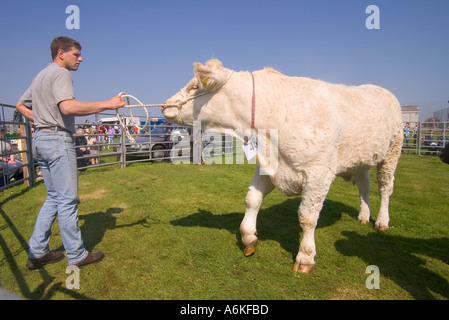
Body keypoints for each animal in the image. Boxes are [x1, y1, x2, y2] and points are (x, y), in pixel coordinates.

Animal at [161, 59, 402, 272]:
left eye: (194, 86)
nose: (164, 106)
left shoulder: (319, 173)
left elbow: (308, 217)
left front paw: (305, 256)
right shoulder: (269, 168)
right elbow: (252, 200)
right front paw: (249, 238)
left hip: (392, 152)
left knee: (385, 188)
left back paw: (381, 220)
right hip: (361, 160)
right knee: (365, 187)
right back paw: (364, 215)